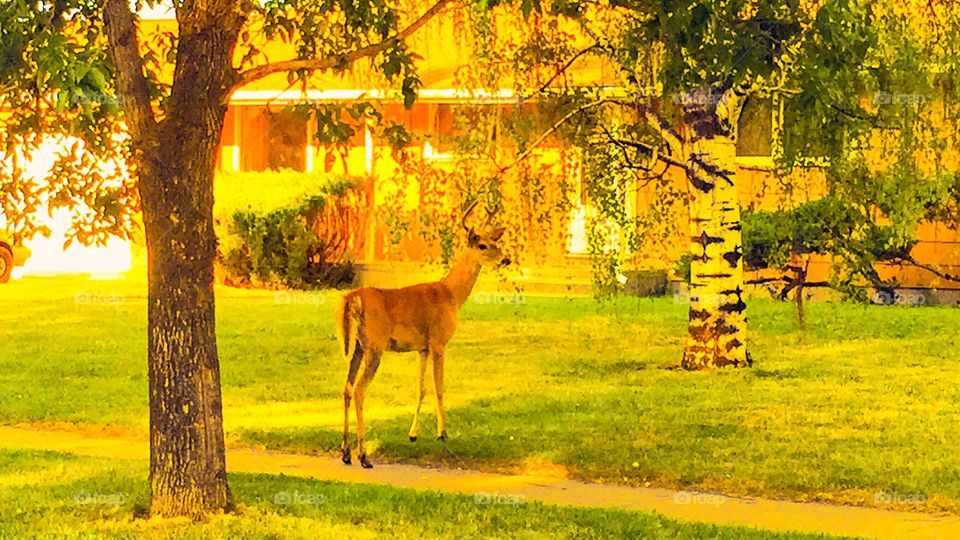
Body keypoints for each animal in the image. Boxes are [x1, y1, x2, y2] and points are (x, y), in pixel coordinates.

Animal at [336, 201, 510, 468]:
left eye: (495, 241)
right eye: (482, 245)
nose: (506, 259)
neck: (451, 294)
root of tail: (352, 298)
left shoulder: (423, 347)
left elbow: (421, 388)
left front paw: (413, 434)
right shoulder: (439, 341)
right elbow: (439, 387)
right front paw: (442, 433)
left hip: (357, 346)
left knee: (346, 388)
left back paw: (345, 453)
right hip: (375, 346)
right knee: (359, 390)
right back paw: (363, 456)